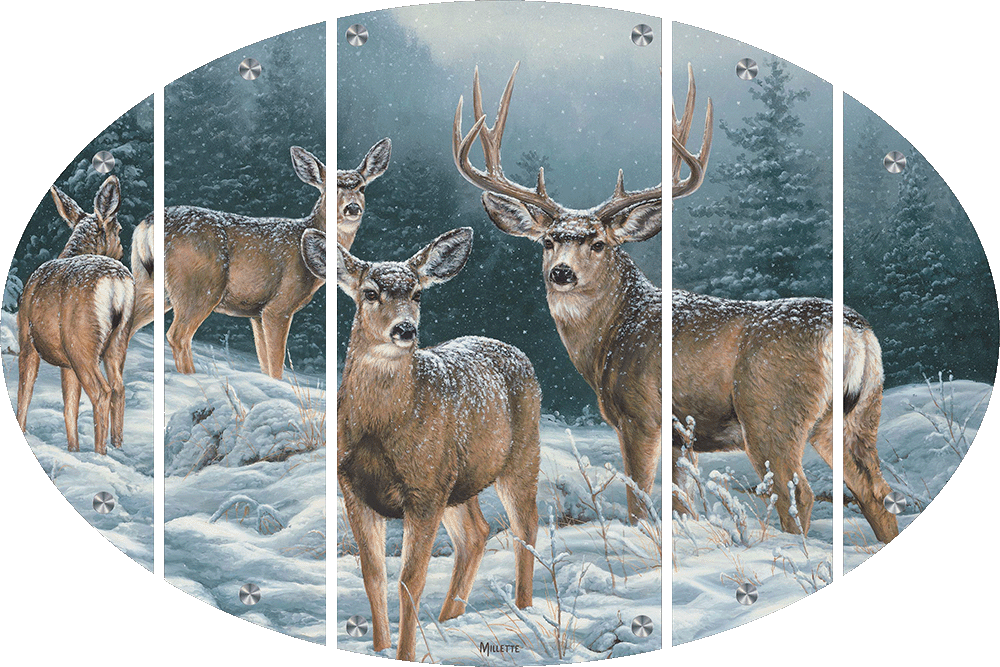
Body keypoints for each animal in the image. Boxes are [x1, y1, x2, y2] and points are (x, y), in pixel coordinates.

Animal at [16, 175, 134, 455]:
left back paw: (101, 454)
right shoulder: (66, 362)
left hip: (81, 343)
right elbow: (70, 407)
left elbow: (25, 393)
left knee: (102, 392)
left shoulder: (27, 339)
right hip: (118, 339)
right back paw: (116, 447)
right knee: (118, 388)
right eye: (120, 229)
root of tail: (116, 282)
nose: (123, 251)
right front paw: (73, 450)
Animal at [130, 146, 326, 379]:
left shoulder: (256, 313)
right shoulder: (278, 306)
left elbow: (264, 361)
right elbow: (276, 363)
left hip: (150, 284)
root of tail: (146, 224)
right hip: (198, 286)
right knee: (178, 335)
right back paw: (192, 377)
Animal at [337, 227, 540, 662]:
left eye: (417, 293)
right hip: (458, 480)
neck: (381, 430)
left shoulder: (424, 488)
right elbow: (372, 576)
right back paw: (450, 620)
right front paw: (380, 648)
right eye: (370, 292)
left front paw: (404, 655)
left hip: (520, 455)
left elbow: (410, 580)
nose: (404, 329)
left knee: (525, 527)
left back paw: (524, 609)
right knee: (477, 533)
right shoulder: (352, 488)